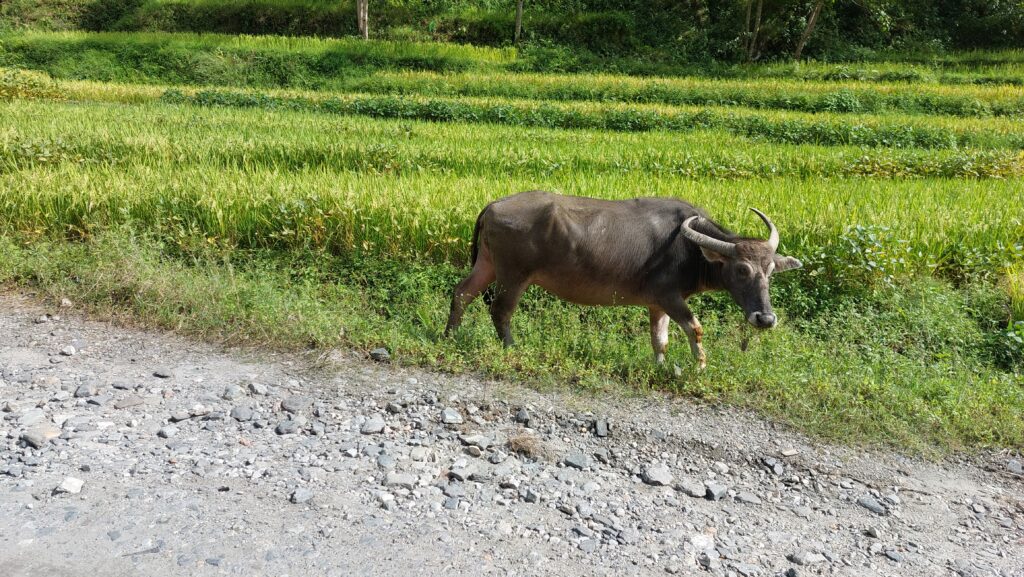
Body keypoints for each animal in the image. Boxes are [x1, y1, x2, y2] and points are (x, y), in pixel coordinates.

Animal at [443, 191, 802, 368]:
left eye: (770, 271)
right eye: (741, 269)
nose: (765, 318)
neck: (689, 248)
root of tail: (493, 205)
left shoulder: (657, 305)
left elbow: (660, 340)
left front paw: (661, 367)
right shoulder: (670, 297)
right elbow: (695, 328)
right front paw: (699, 367)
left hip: (488, 264)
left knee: (461, 293)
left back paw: (450, 336)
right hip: (513, 275)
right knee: (501, 310)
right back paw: (511, 347)